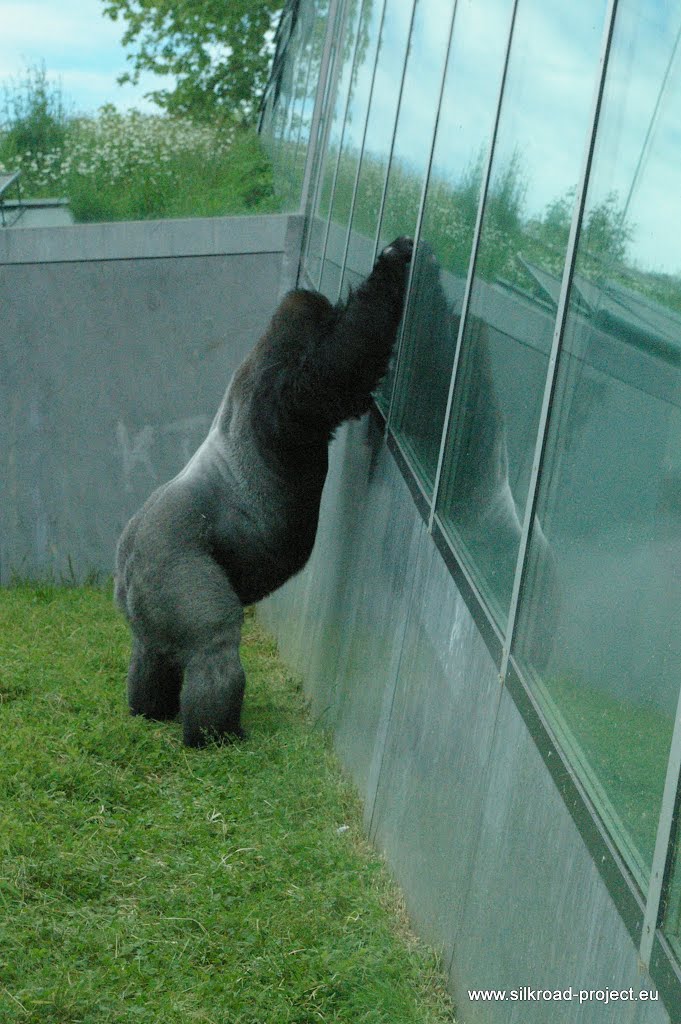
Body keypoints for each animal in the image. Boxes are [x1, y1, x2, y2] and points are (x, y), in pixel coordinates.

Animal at [114, 234, 411, 745]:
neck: (268, 345)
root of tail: (129, 559)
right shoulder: (285, 399)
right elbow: (343, 364)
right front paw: (395, 262)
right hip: (171, 562)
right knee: (213, 645)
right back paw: (215, 733)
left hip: (140, 601)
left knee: (152, 651)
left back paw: (150, 708)